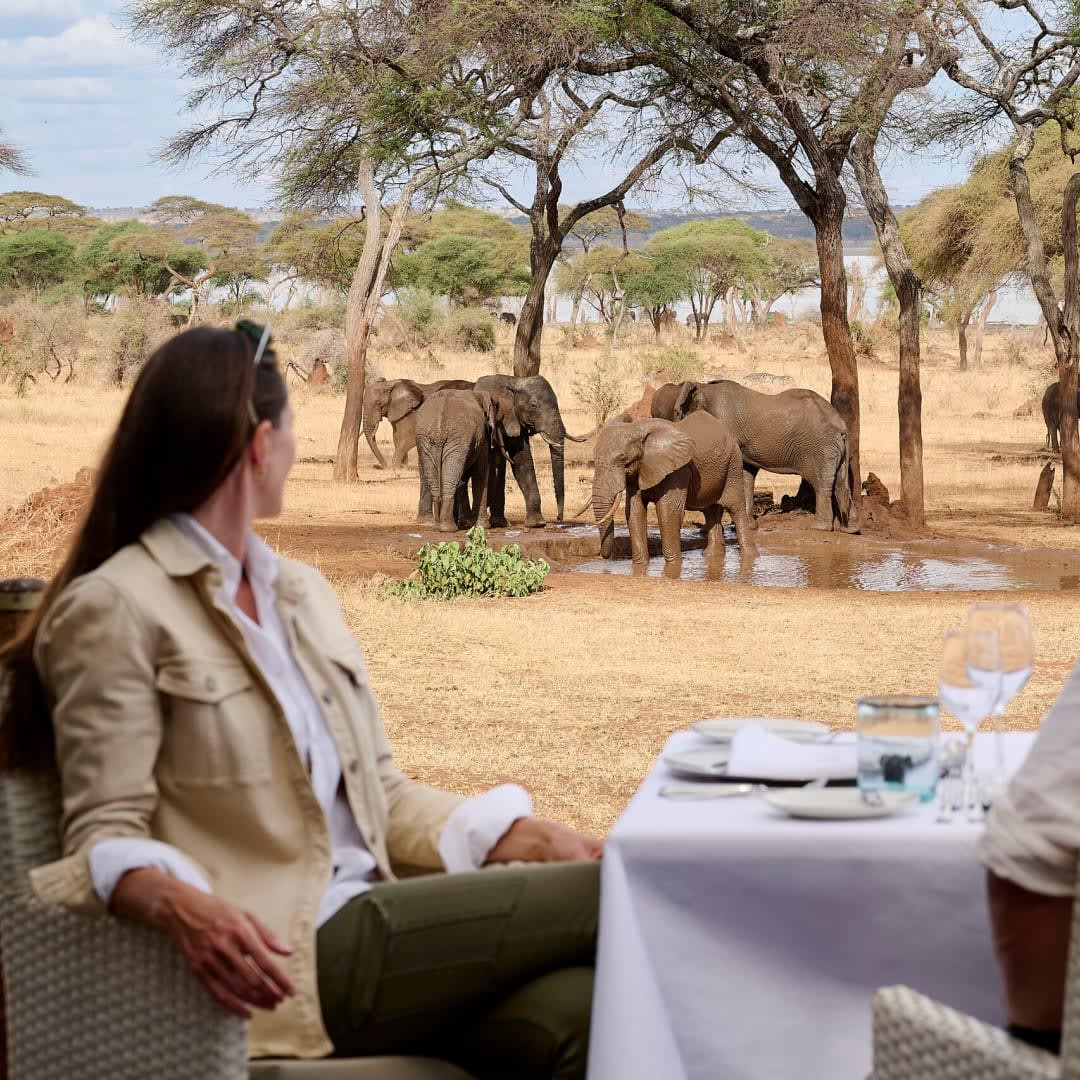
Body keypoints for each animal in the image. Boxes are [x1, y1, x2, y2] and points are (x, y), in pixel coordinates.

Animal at [414, 388, 521, 532]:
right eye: (499, 419)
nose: (512, 461)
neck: (478, 394)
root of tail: (438, 427)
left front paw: (468, 524)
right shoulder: (481, 436)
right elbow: (481, 473)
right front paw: (482, 526)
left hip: (426, 440)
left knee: (438, 482)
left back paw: (439, 525)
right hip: (457, 438)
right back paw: (449, 528)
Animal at [472, 374, 587, 528]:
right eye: (533, 406)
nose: (558, 518)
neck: (512, 381)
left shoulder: (514, 420)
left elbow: (523, 462)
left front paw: (537, 524)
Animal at [591, 412, 757, 563]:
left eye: (622, 459)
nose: (602, 555)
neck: (638, 429)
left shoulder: (678, 470)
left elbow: (668, 511)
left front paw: (673, 565)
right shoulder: (639, 471)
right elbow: (634, 511)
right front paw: (640, 565)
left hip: (734, 464)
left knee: (735, 507)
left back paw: (750, 556)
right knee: (710, 510)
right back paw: (712, 556)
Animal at [653, 379, 859, 533]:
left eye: (675, 414)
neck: (702, 387)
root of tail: (841, 426)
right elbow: (746, 474)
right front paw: (748, 526)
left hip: (820, 447)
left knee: (822, 483)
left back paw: (819, 528)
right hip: (836, 448)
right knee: (841, 483)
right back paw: (850, 529)